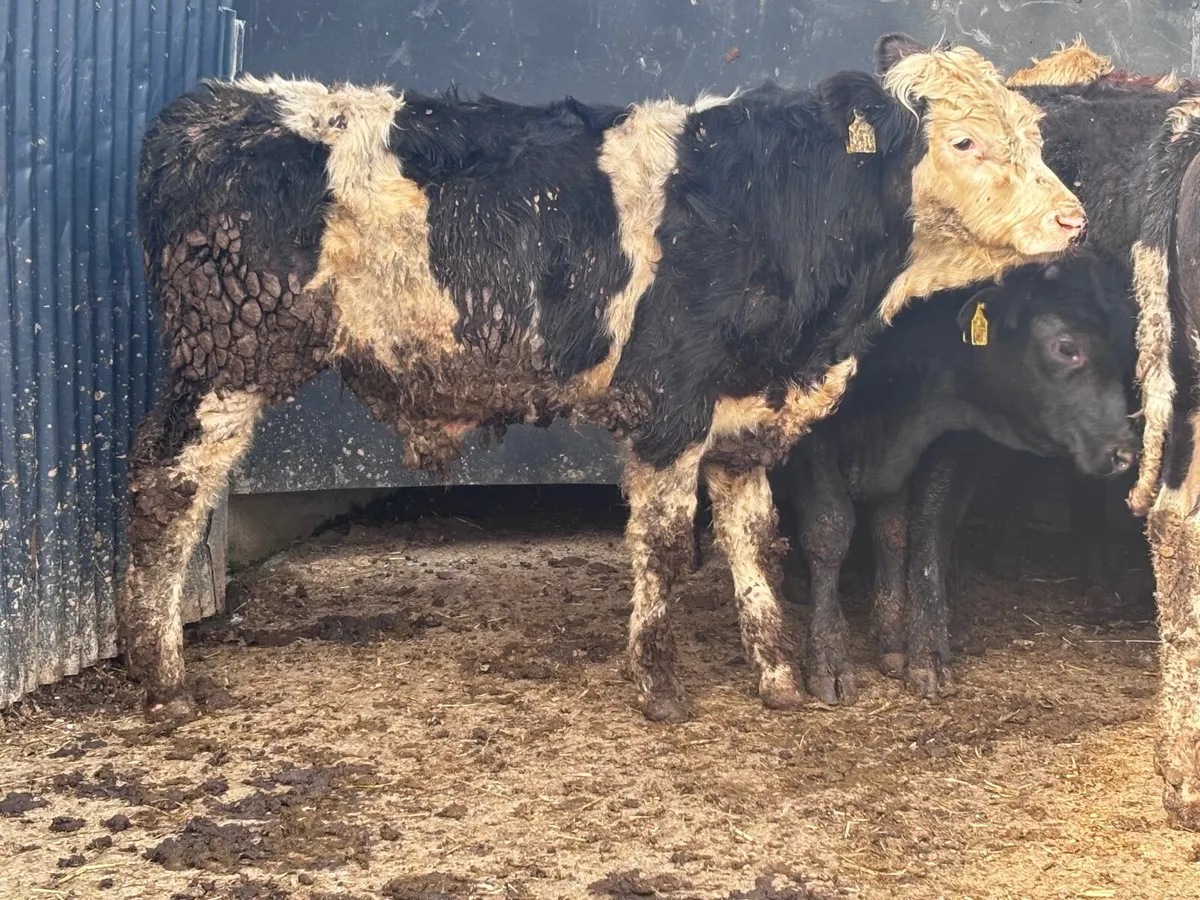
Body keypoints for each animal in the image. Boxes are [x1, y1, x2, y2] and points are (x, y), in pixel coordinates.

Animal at [122, 33, 1084, 725]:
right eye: (964, 141)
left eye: (1036, 139)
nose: (1073, 220)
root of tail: (216, 105)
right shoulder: (667, 401)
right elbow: (663, 546)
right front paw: (659, 688)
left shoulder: (742, 412)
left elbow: (755, 538)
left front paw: (776, 677)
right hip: (224, 357)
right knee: (167, 493)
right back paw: (163, 681)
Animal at [771, 253, 1137, 704]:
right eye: (1066, 347)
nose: (1124, 451)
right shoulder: (812, 425)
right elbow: (830, 527)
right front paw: (829, 658)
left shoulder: (946, 439)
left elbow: (917, 532)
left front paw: (913, 645)